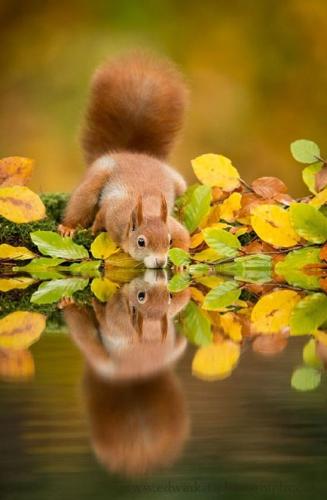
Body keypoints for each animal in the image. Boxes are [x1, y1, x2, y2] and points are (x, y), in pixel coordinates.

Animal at [60, 52, 191, 268]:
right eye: (141, 242)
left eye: (169, 240)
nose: (160, 262)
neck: (146, 209)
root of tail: (130, 152)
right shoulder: (112, 213)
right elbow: (100, 217)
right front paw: (93, 230)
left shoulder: (172, 226)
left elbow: (185, 236)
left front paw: (180, 263)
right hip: (96, 178)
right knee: (82, 202)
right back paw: (68, 227)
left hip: (179, 183)